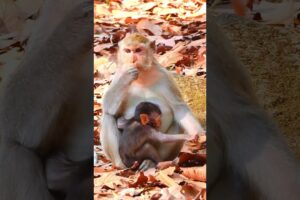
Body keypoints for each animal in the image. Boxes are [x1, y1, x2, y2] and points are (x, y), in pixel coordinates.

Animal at [101, 33, 206, 170]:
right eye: (128, 51)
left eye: (138, 50)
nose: (132, 59)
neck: (142, 76)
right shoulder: (118, 74)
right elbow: (110, 108)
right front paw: (126, 77)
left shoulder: (165, 76)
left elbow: (179, 109)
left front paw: (199, 135)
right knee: (108, 116)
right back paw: (121, 166)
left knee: (176, 123)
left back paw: (153, 162)